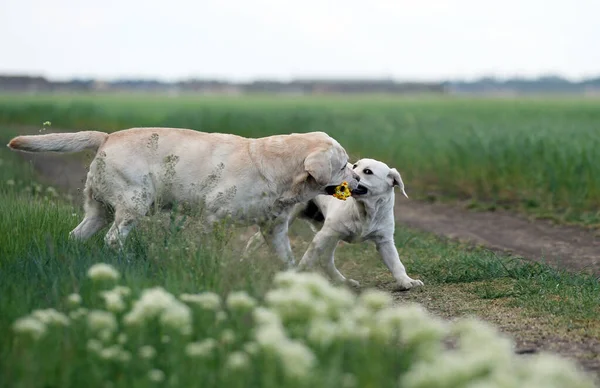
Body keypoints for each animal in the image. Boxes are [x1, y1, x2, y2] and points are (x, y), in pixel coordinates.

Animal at [7, 127, 358, 266]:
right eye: (343, 165)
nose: (356, 178)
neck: (278, 169)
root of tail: (107, 136)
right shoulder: (215, 218)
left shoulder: (274, 230)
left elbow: (287, 260)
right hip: (134, 203)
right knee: (113, 239)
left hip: (99, 210)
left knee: (78, 235)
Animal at [244, 156, 422, 290]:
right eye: (355, 165)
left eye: (368, 171)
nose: (351, 175)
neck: (364, 211)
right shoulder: (324, 235)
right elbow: (308, 260)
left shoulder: (384, 241)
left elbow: (397, 264)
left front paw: (406, 281)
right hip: (287, 221)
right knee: (255, 240)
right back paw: (245, 261)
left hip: (331, 237)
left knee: (326, 261)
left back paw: (343, 281)